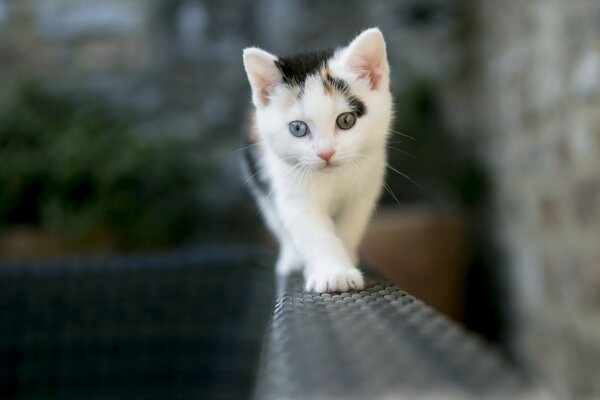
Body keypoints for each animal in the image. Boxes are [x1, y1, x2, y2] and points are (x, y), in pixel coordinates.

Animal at [241, 27, 392, 290]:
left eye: (346, 120)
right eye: (298, 128)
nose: (326, 153)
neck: (333, 177)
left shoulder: (364, 189)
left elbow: (349, 226)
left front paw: (346, 260)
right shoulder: (290, 189)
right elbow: (311, 231)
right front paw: (334, 272)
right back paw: (291, 260)